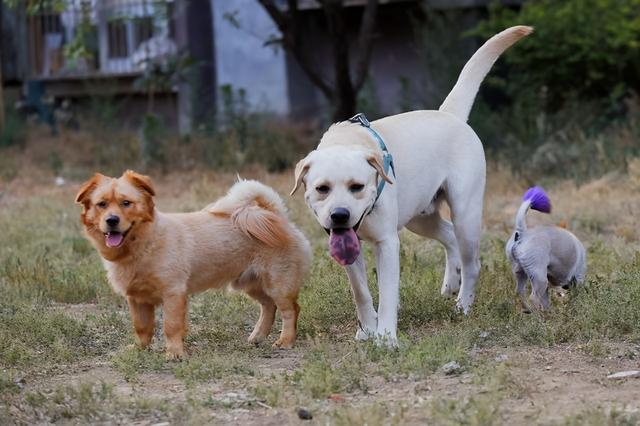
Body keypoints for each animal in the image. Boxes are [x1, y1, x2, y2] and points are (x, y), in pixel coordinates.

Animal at [76, 171, 312, 358]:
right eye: (102, 204)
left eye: (126, 203)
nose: (112, 220)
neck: (144, 245)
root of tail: (275, 214)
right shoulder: (137, 299)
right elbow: (142, 328)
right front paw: (139, 349)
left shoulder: (173, 293)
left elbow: (171, 327)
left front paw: (174, 353)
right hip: (251, 284)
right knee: (268, 306)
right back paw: (257, 337)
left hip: (278, 284)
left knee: (290, 310)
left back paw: (285, 341)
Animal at [292, 25, 532, 344]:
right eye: (322, 189)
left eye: (357, 186)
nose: (340, 215)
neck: (349, 141)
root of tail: (449, 114)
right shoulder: (348, 247)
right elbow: (361, 293)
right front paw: (366, 330)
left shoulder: (387, 243)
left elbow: (387, 294)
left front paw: (385, 338)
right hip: (419, 217)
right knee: (449, 236)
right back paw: (450, 284)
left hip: (465, 213)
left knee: (472, 262)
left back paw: (463, 305)